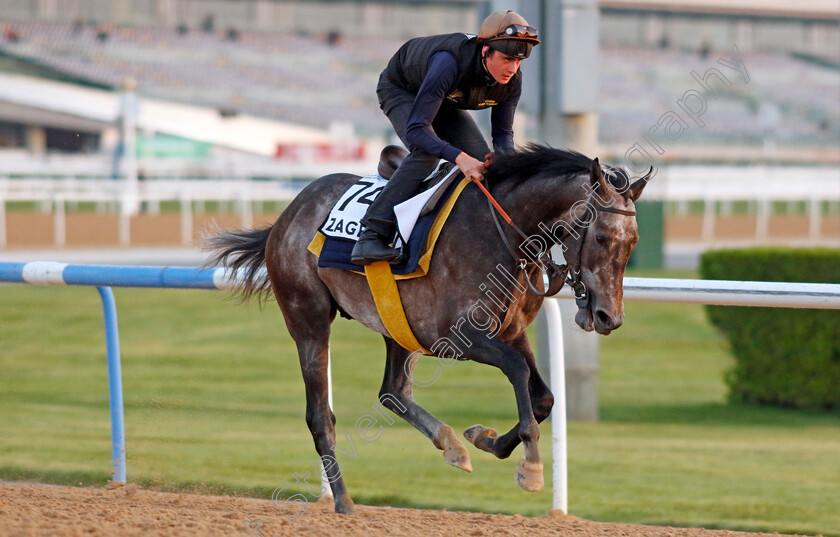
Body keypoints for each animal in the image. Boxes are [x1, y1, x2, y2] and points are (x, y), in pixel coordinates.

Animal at [207, 144, 652, 512]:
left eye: (633, 243)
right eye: (601, 237)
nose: (609, 317)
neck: (503, 233)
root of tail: (286, 215)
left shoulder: (510, 331)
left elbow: (542, 398)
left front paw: (485, 439)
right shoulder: (455, 336)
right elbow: (517, 371)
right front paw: (531, 466)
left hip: (395, 324)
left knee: (392, 392)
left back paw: (450, 443)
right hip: (308, 319)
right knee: (320, 416)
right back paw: (344, 501)